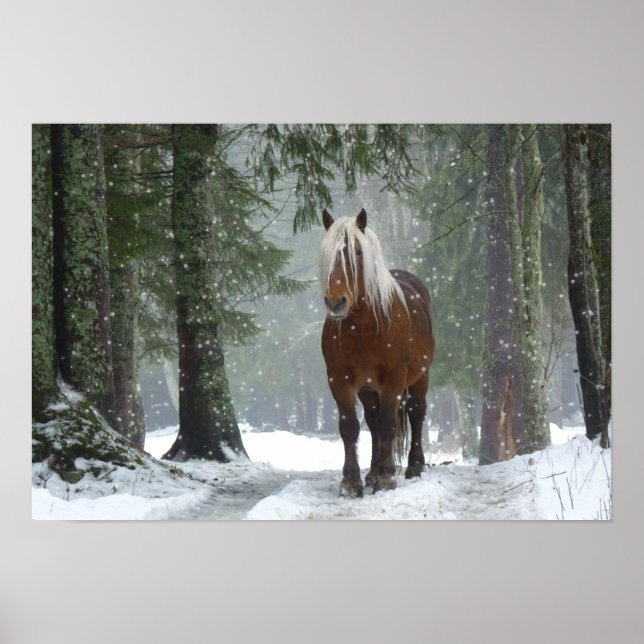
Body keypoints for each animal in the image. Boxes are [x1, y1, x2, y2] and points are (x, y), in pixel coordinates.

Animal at [320, 208, 435, 496]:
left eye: (358, 252)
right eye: (327, 254)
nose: (336, 301)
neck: (364, 326)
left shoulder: (395, 378)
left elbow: (388, 424)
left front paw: (386, 477)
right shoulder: (339, 379)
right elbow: (350, 426)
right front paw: (352, 481)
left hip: (420, 376)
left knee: (416, 413)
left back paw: (413, 467)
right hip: (368, 387)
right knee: (372, 422)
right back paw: (371, 473)